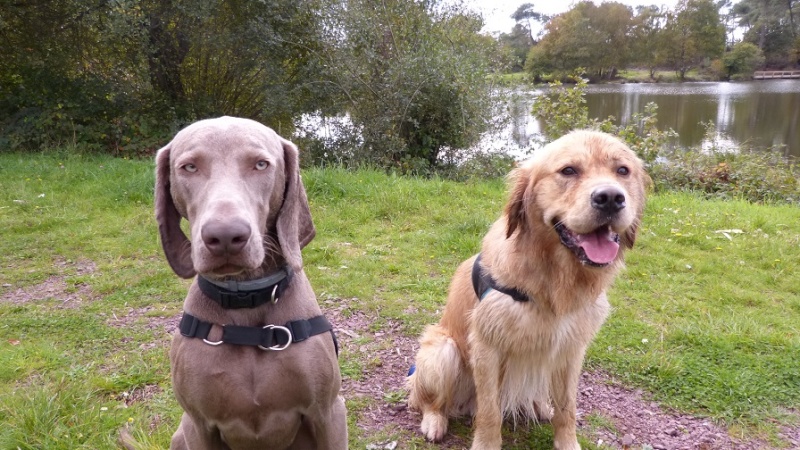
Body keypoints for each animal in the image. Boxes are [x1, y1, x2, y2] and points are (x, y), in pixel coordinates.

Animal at [410, 130, 648, 450]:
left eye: (623, 170)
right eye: (568, 170)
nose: (610, 198)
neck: (554, 281)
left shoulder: (571, 349)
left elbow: (567, 408)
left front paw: (567, 442)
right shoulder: (487, 347)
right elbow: (489, 412)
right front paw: (486, 444)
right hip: (441, 351)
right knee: (431, 400)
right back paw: (434, 421)